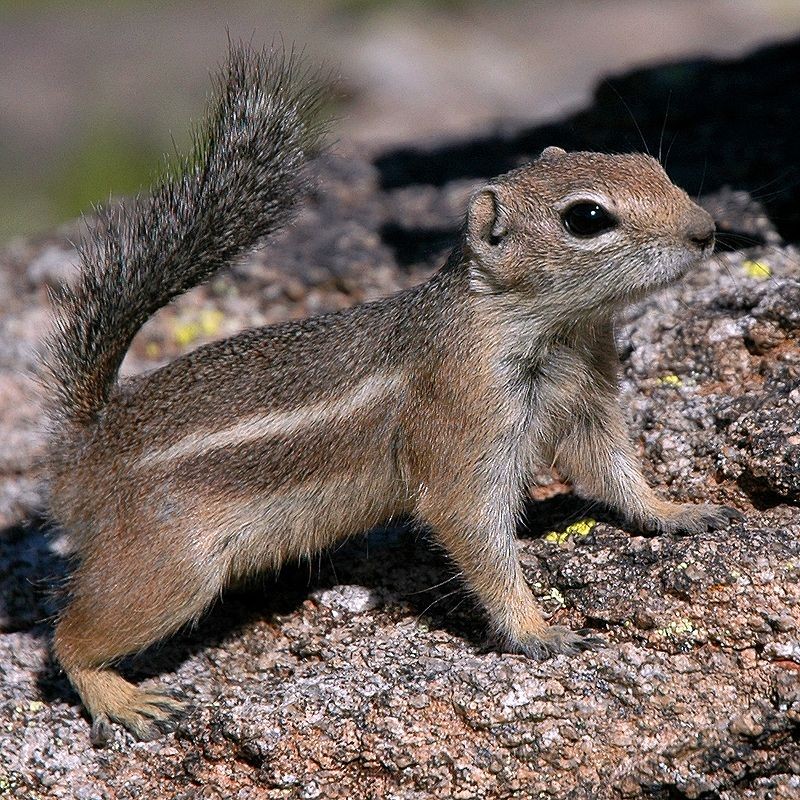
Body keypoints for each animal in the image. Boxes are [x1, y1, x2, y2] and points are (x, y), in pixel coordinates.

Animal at [40, 43, 740, 746]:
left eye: (652, 166)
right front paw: (536, 631)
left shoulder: (589, 401)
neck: (548, 328)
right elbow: (474, 532)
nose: (707, 229)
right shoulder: (466, 425)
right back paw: (122, 698)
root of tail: (83, 449)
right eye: (587, 217)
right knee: (67, 639)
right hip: (170, 568)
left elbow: (615, 471)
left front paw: (678, 511)